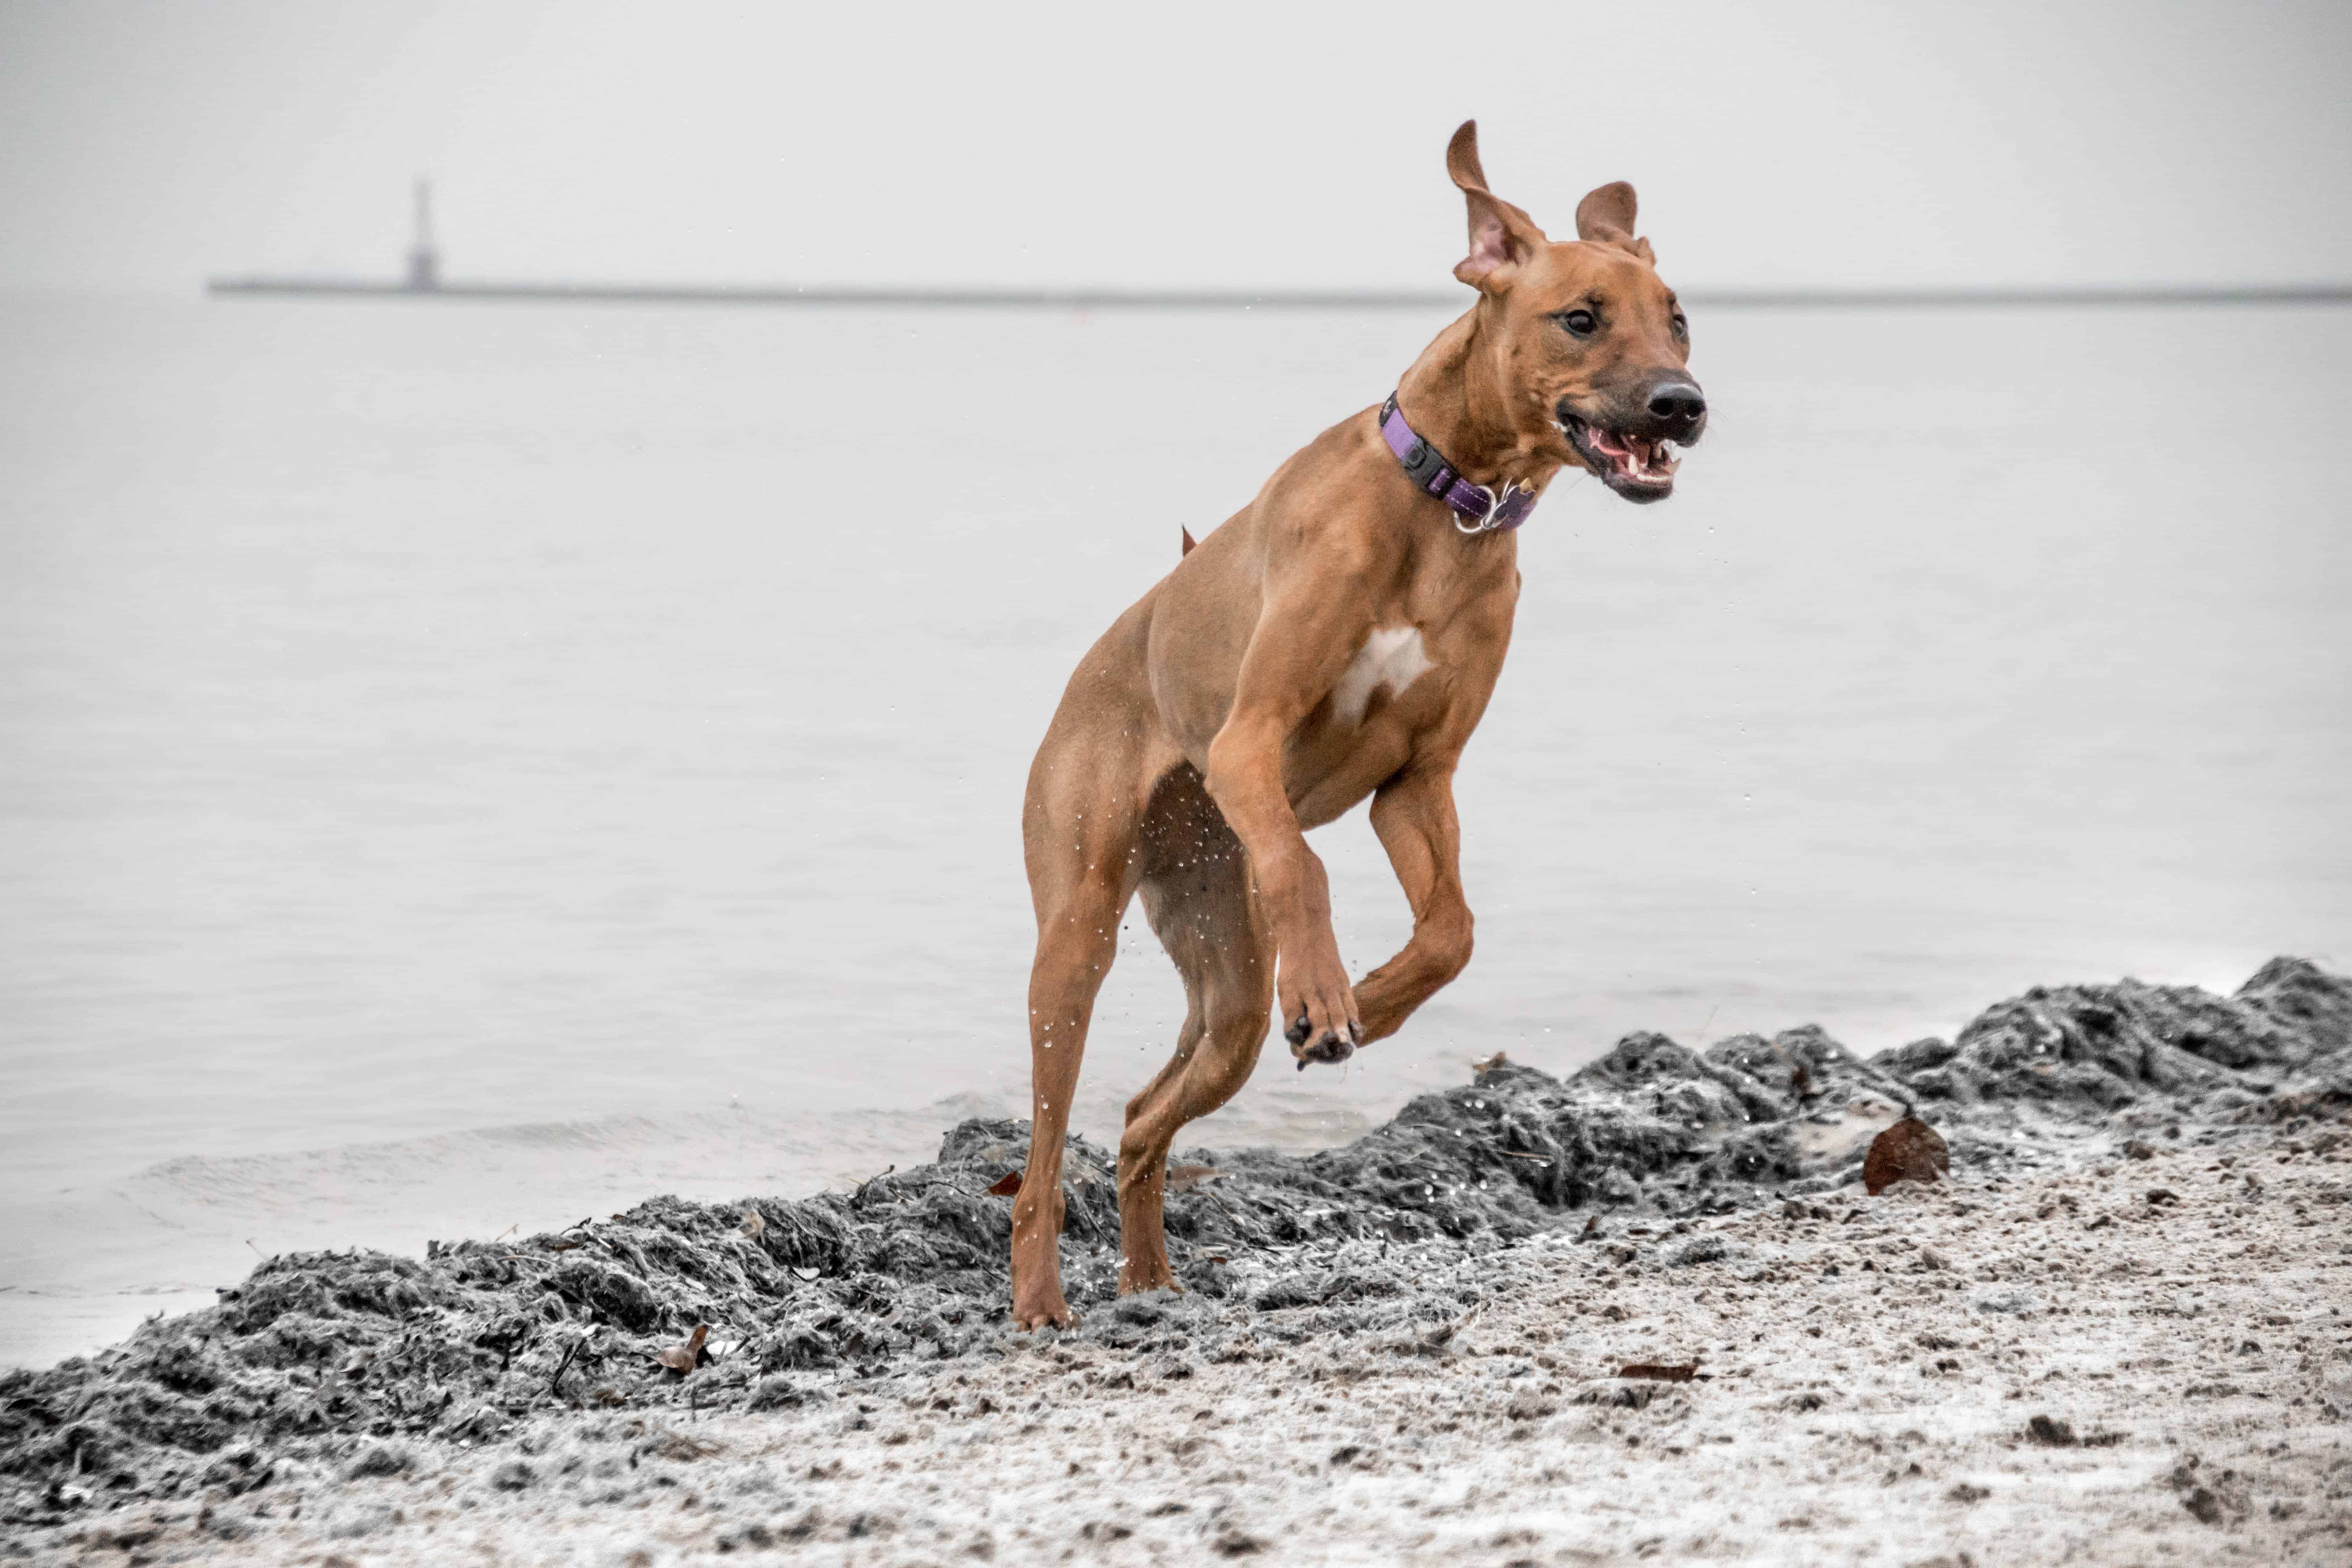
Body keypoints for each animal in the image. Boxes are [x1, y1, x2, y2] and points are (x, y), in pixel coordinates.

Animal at [1002, 120, 1703, 1335]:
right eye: (1579, 318)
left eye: (1680, 317)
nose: (1683, 404)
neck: (1449, 501)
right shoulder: (1248, 743)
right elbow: (1306, 863)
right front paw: (1330, 992)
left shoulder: (1420, 783)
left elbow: (1453, 930)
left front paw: (1366, 1004)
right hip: (1077, 934)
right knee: (1045, 1152)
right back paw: (1043, 1300)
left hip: (1224, 979)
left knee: (1145, 1116)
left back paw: (1151, 1281)